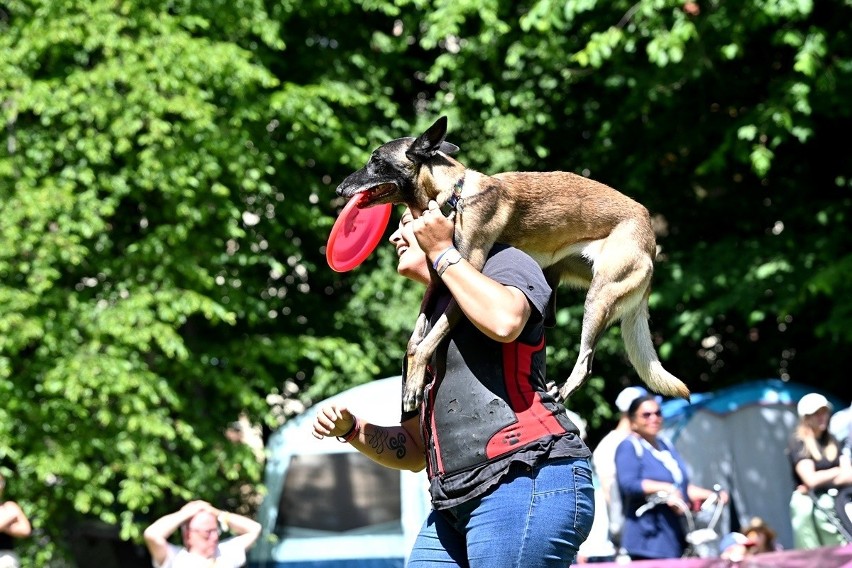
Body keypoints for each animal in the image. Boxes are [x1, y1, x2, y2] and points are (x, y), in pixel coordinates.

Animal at [336, 116, 688, 408]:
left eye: (376, 161)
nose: (340, 188)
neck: (454, 195)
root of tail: (650, 234)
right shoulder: (436, 285)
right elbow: (414, 339)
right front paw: (412, 379)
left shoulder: (464, 285)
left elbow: (429, 340)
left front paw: (412, 386)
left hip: (599, 298)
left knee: (585, 363)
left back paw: (561, 391)